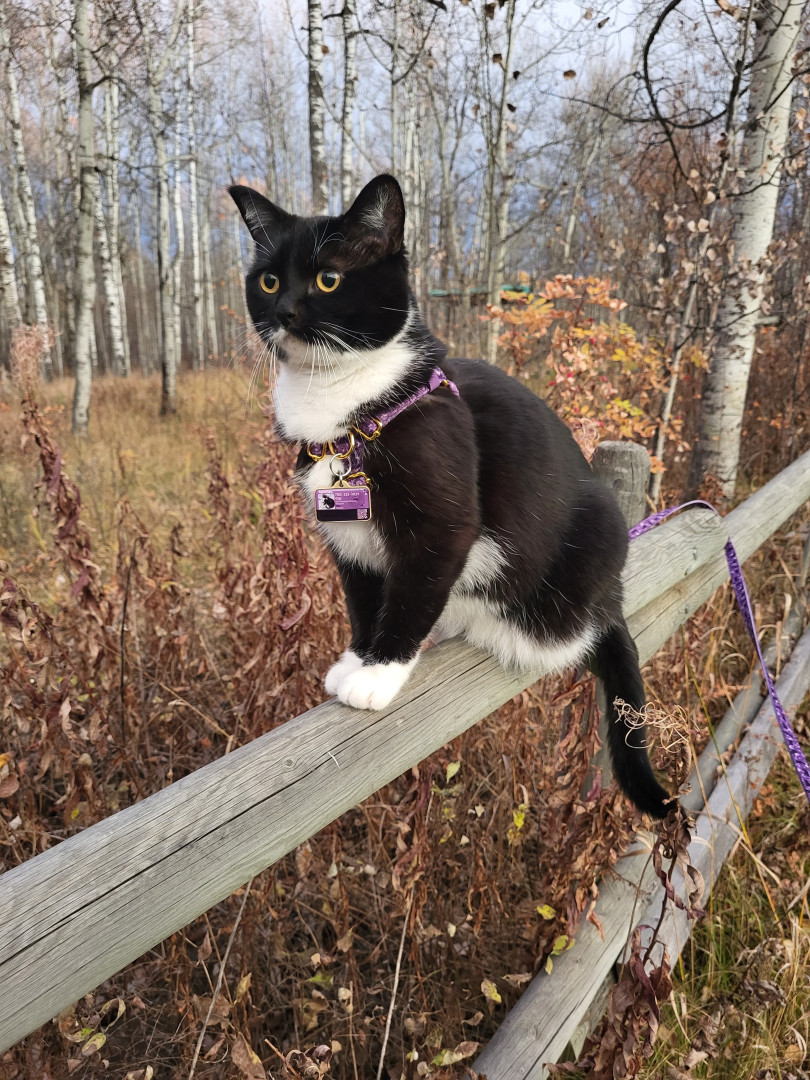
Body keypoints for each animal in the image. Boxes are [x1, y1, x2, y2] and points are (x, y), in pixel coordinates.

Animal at [229, 174, 671, 818]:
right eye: (267, 280)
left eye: (328, 278)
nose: (284, 310)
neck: (348, 411)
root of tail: (612, 599)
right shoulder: (347, 536)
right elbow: (365, 597)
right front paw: (357, 656)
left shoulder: (443, 518)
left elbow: (412, 592)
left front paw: (378, 673)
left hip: (593, 539)